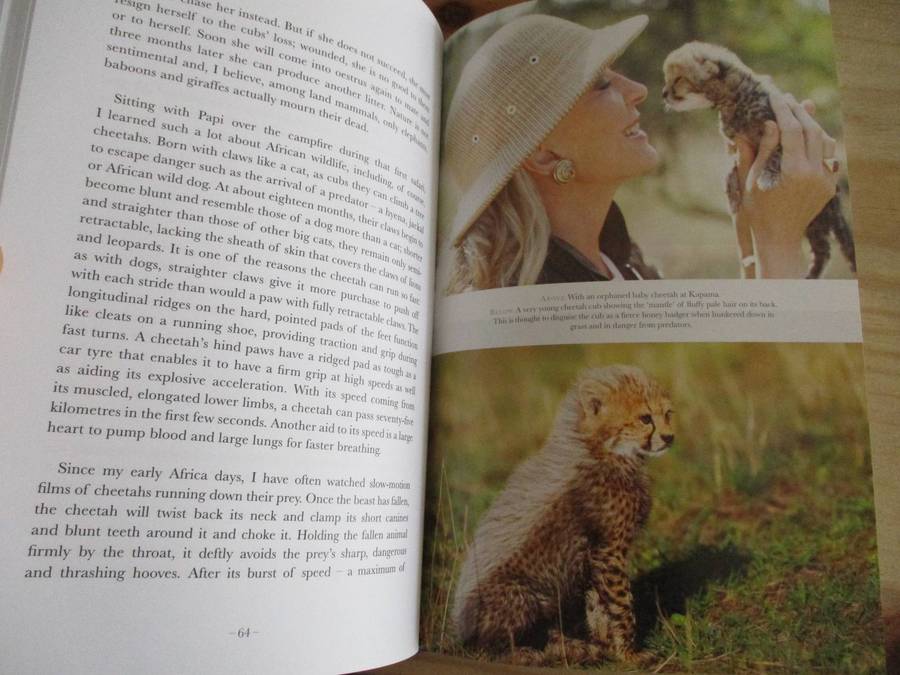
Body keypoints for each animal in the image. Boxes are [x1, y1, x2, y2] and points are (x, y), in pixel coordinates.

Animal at [452, 365, 674, 665]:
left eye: (668, 414)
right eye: (645, 418)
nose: (669, 437)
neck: (605, 450)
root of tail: (462, 633)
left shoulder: (595, 555)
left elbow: (598, 603)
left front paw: (607, 645)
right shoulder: (609, 549)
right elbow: (622, 604)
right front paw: (629, 653)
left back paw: (569, 647)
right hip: (520, 594)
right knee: (489, 648)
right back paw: (526, 654)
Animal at [662, 41, 856, 279]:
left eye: (678, 79)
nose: (663, 94)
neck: (733, 99)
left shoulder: (778, 130)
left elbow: (774, 155)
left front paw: (767, 177)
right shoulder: (734, 145)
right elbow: (730, 167)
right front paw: (731, 190)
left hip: (825, 215)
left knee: (832, 245)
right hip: (815, 222)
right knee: (823, 249)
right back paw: (809, 276)